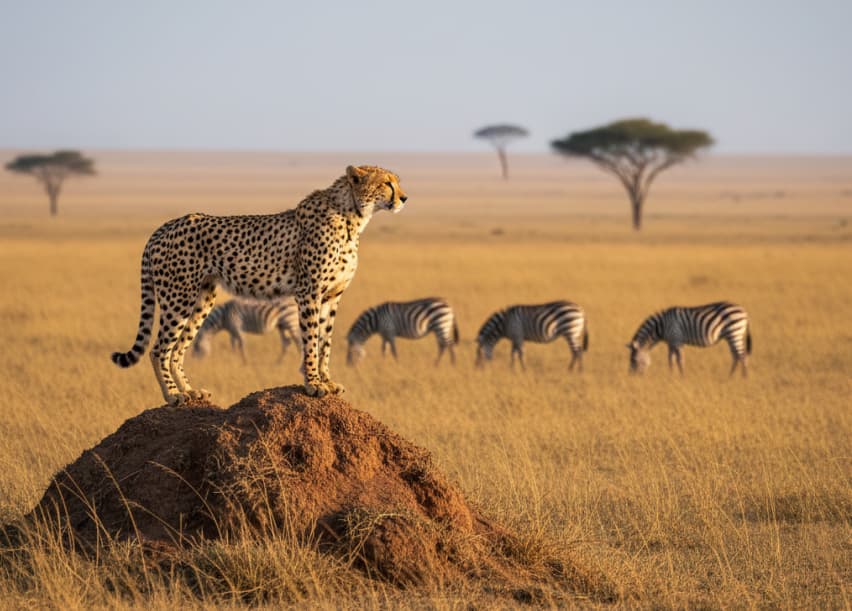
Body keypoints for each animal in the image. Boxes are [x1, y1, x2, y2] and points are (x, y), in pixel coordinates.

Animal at [111, 165, 408, 405]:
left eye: (396, 182)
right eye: (387, 183)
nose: (404, 198)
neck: (352, 217)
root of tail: (167, 224)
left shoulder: (331, 296)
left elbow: (325, 342)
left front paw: (326, 380)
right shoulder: (309, 292)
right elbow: (311, 341)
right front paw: (313, 384)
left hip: (202, 299)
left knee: (177, 349)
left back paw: (190, 391)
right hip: (178, 297)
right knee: (159, 349)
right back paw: (173, 395)